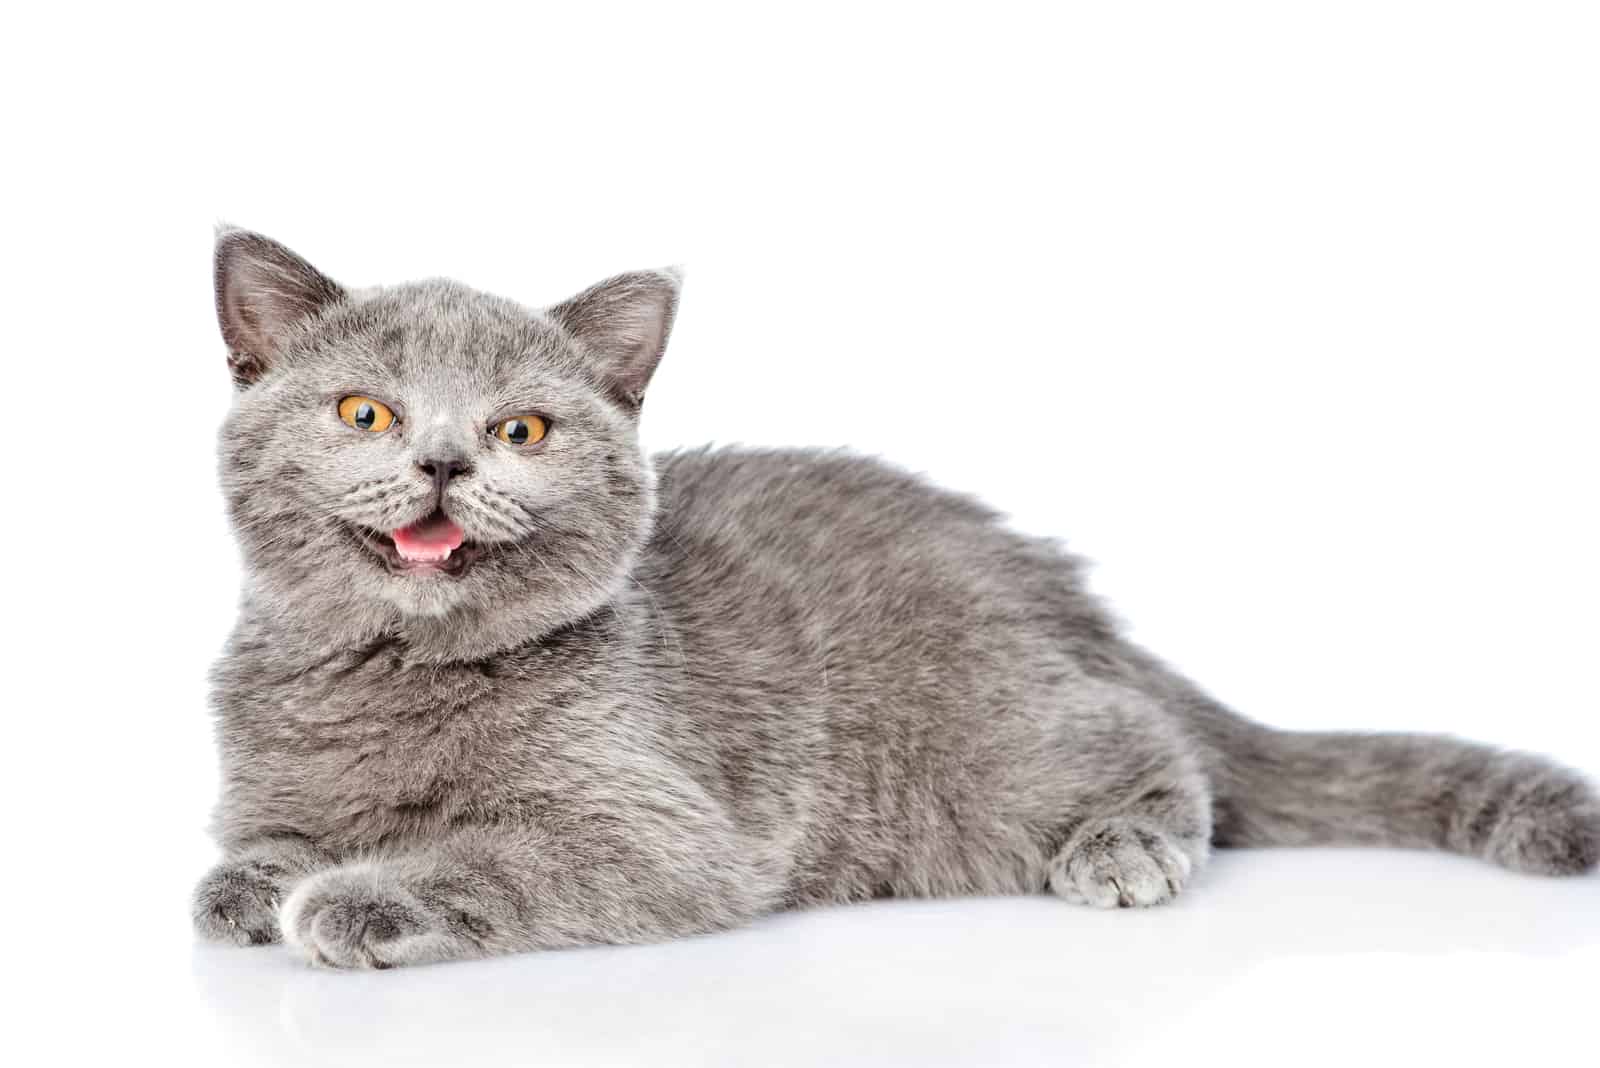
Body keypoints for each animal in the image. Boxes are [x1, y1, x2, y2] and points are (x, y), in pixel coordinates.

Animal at [193, 225, 1593, 965]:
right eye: (365, 412)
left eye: (521, 429)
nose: (444, 461)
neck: (398, 676)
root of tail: (1053, 585)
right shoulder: (260, 785)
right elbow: (239, 860)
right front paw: (258, 886)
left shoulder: (656, 829)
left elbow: (491, 854)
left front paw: (351, 897)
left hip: (989, 747)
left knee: (1162, 750)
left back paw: (1125, 848)